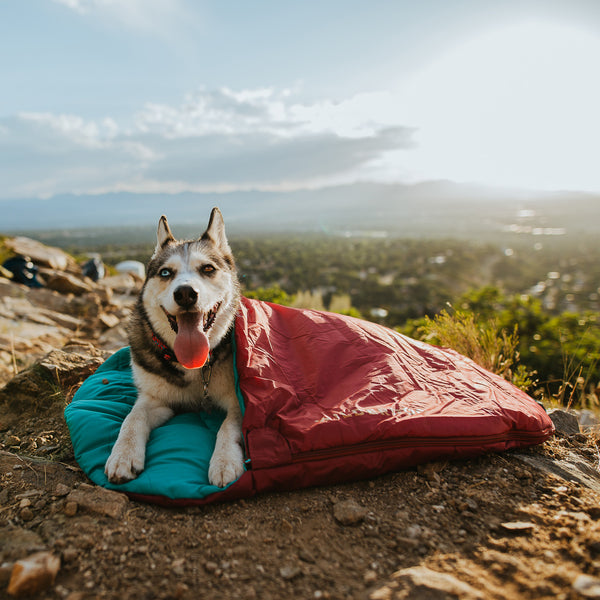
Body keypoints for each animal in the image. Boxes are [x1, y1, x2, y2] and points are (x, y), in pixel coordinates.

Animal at [105, 209, 244, 490]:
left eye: (208, 269)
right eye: (166, 273)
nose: (186, 293)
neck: (193, 366)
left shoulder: (237, 402)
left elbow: (229, 426)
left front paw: (225, 460)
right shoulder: (155, 399)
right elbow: (132, 419)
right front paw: (123, 455)